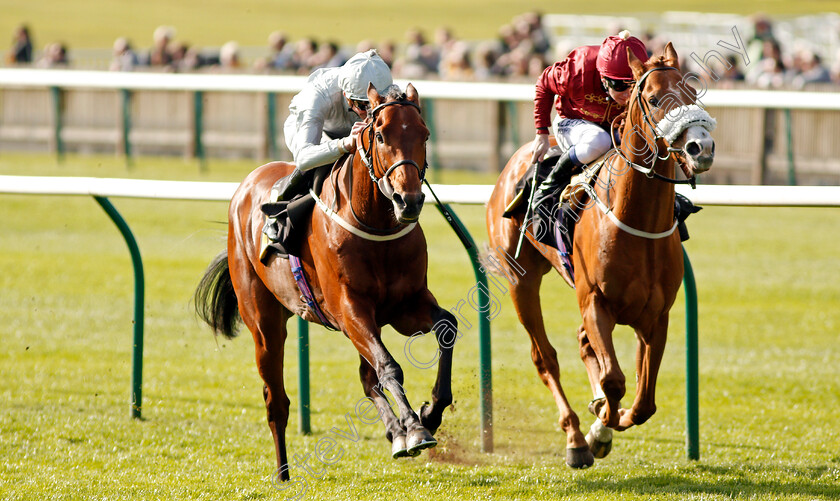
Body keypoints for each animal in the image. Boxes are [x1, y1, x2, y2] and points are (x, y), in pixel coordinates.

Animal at [194, 82, 456, 480]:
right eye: (381, 135)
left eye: (424, 134)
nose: (408, 201)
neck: (376, 227)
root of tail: (246, 185)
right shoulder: (349, 309)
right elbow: (389, 366)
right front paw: (415, 429)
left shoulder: (405, 306)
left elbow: (446, 327)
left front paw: (428, 414)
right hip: (264, 321)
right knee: (276, 399)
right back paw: (283, 472)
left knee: (366, 378)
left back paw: (393, 432)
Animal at [486, 44, 716, 468]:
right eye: (654, 99)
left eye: (693, 94)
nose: (701, 148)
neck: (635, 221)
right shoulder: (595, 301)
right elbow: (614, 380)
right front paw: (597, 430)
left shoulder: (656, 315)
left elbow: (643, 401)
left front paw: (607, 423)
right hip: (521, 280)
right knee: (545, 357)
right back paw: (576, 437)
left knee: (582, 345)